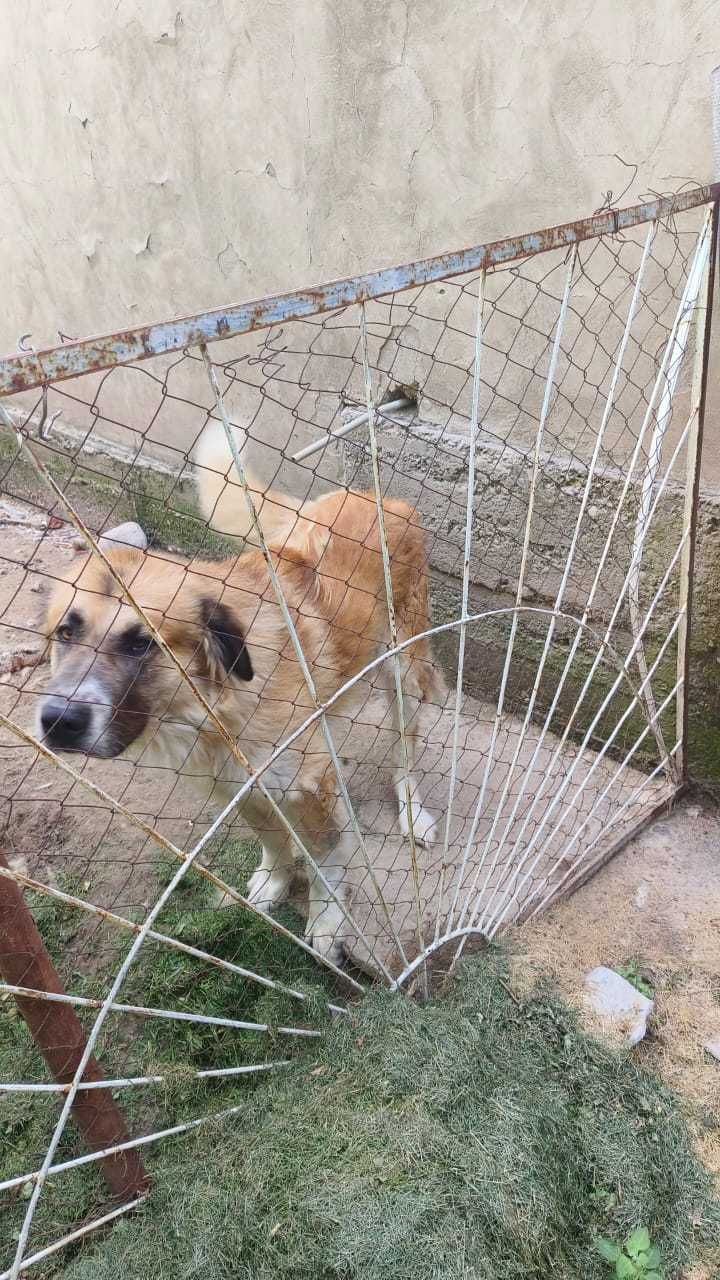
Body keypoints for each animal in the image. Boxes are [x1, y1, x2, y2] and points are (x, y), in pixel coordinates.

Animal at [39, 419, 445, 962]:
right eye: (66, 633)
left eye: (142, 643)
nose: (58, 721)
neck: (215, 709)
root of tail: (375, 495)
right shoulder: (239, 785)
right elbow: (272, 839)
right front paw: (273, 883)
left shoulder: (307, 785)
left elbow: (327, 857)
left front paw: (327, 921)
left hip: (404, 672)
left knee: (406, 750)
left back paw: (413, 812)